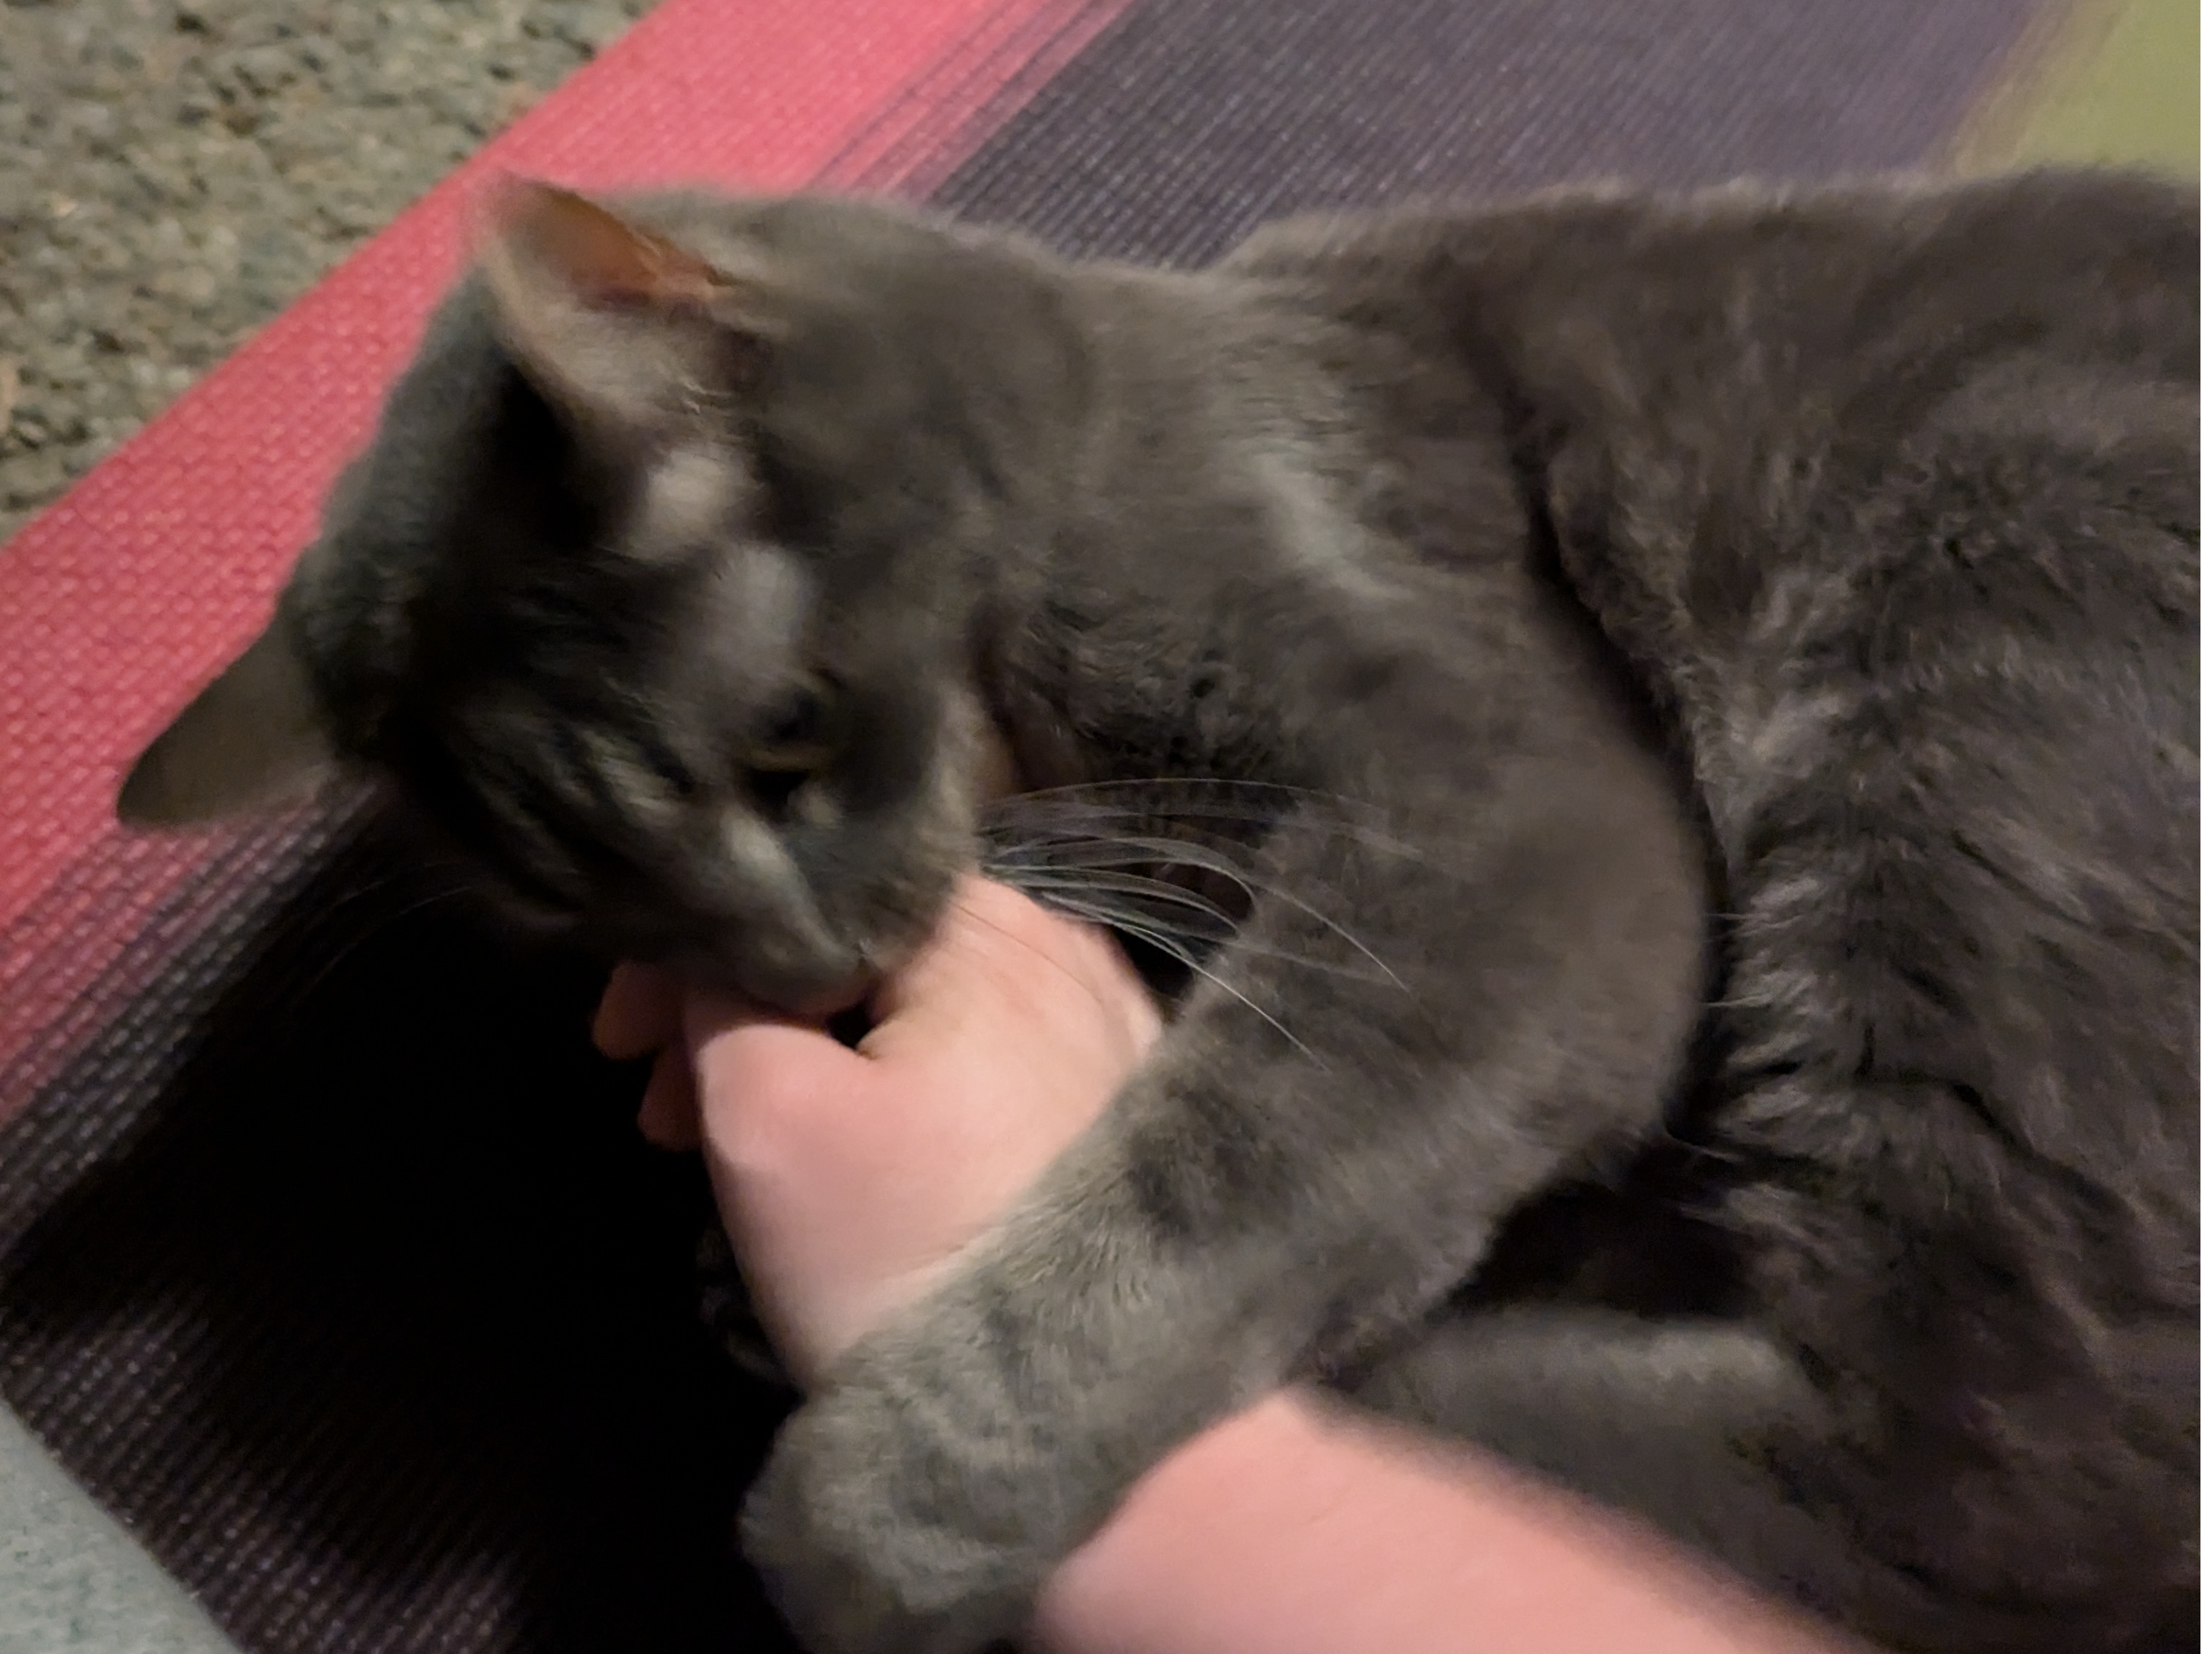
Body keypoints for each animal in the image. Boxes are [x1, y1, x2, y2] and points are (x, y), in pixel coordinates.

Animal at [116, 171, 2194, 1654]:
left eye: (787, 731)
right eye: (577, 894)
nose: (800, 969)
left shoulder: (1511, 815)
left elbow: (1234, 1155)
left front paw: (875, 1500)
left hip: (1986, 618)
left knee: (1980, 1478)